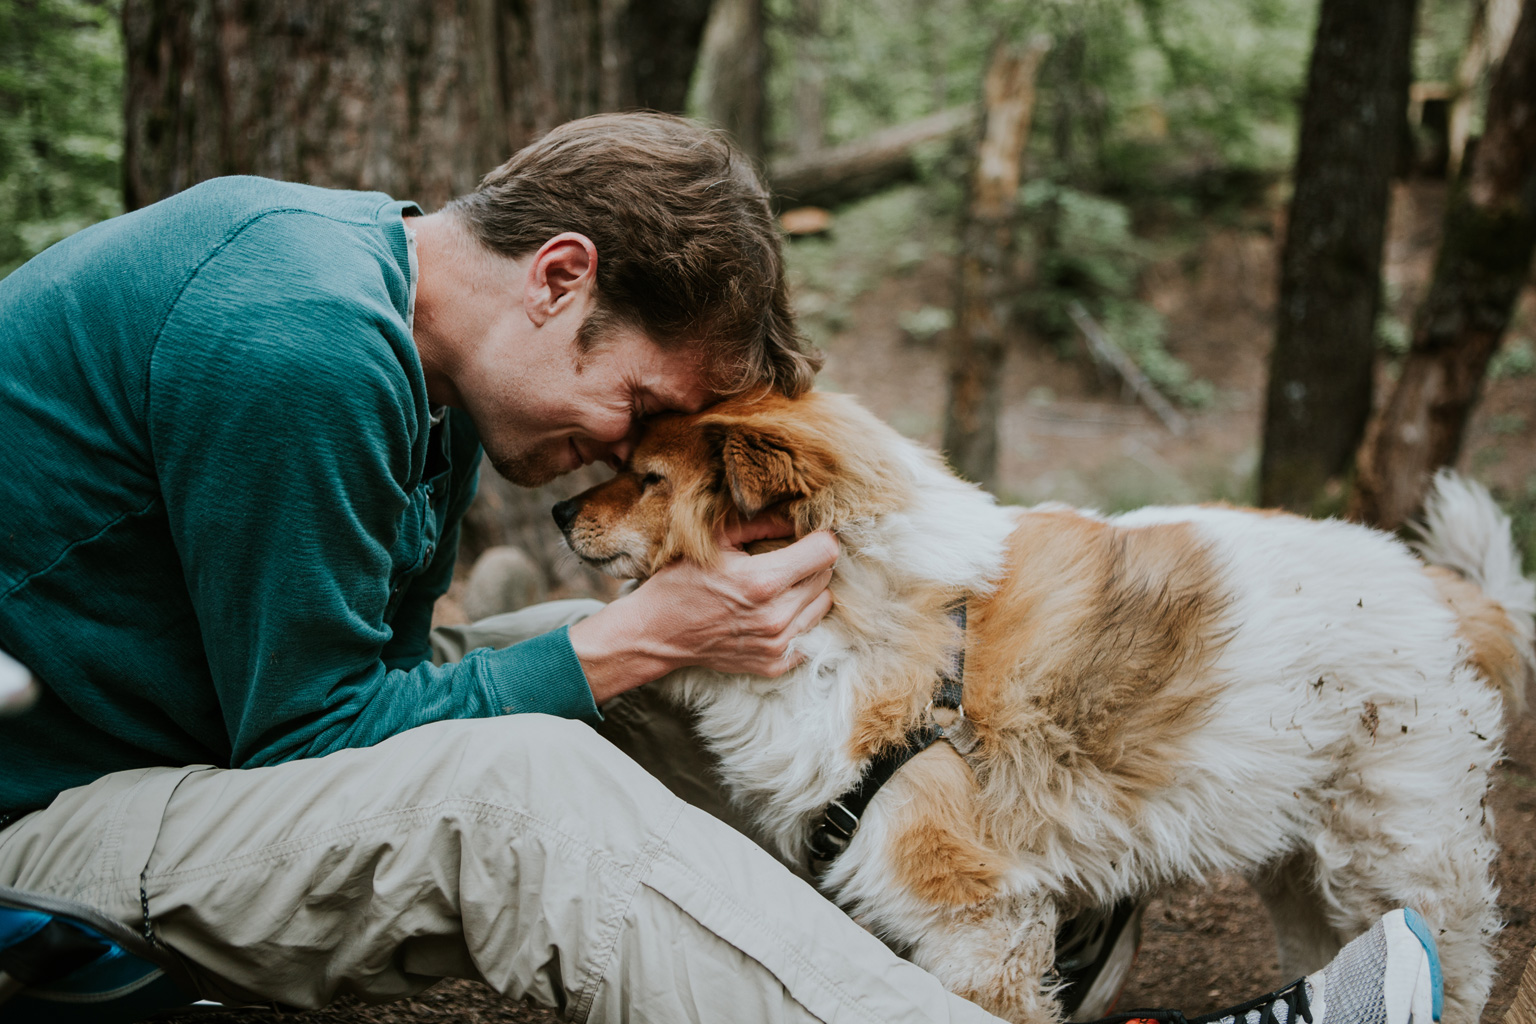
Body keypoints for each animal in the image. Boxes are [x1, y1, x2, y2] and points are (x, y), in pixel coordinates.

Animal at [559, 389, 1529, 1024]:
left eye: (646, 478)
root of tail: (1449, 593)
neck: (859, 608)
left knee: (1464, 962)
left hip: (1398, 849)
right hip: (1298, 858)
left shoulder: (974, 916)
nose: (562, 508)